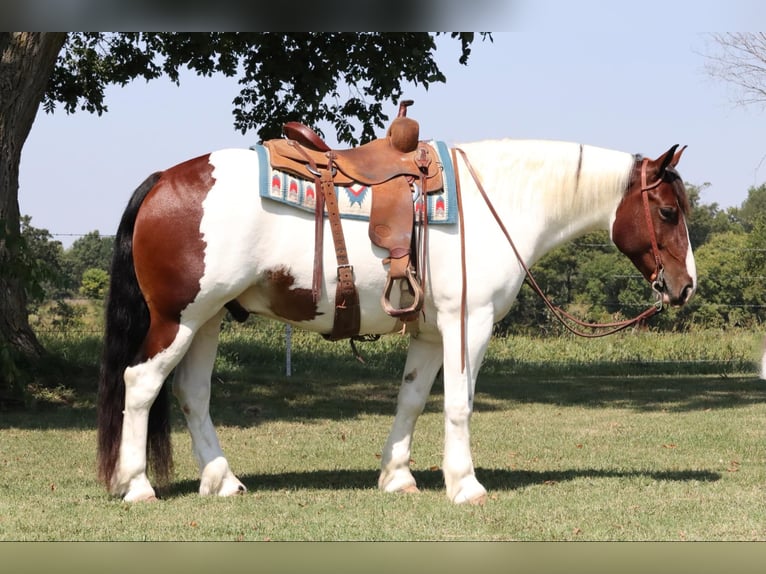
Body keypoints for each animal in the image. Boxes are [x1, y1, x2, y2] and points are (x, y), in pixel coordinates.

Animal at [94, 135, 696, 504]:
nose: (685, 284)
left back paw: (221, 480)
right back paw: (138, 485)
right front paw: (465, 485)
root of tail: (163, 179)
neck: (495, 204)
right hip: (178, 319)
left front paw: (397, 476)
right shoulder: (468, 324)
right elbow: (459, 404)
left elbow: (411, 399)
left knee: (191, 394)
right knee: (140, 384)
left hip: (209, 320)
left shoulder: (430, 334)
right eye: (668, 211)